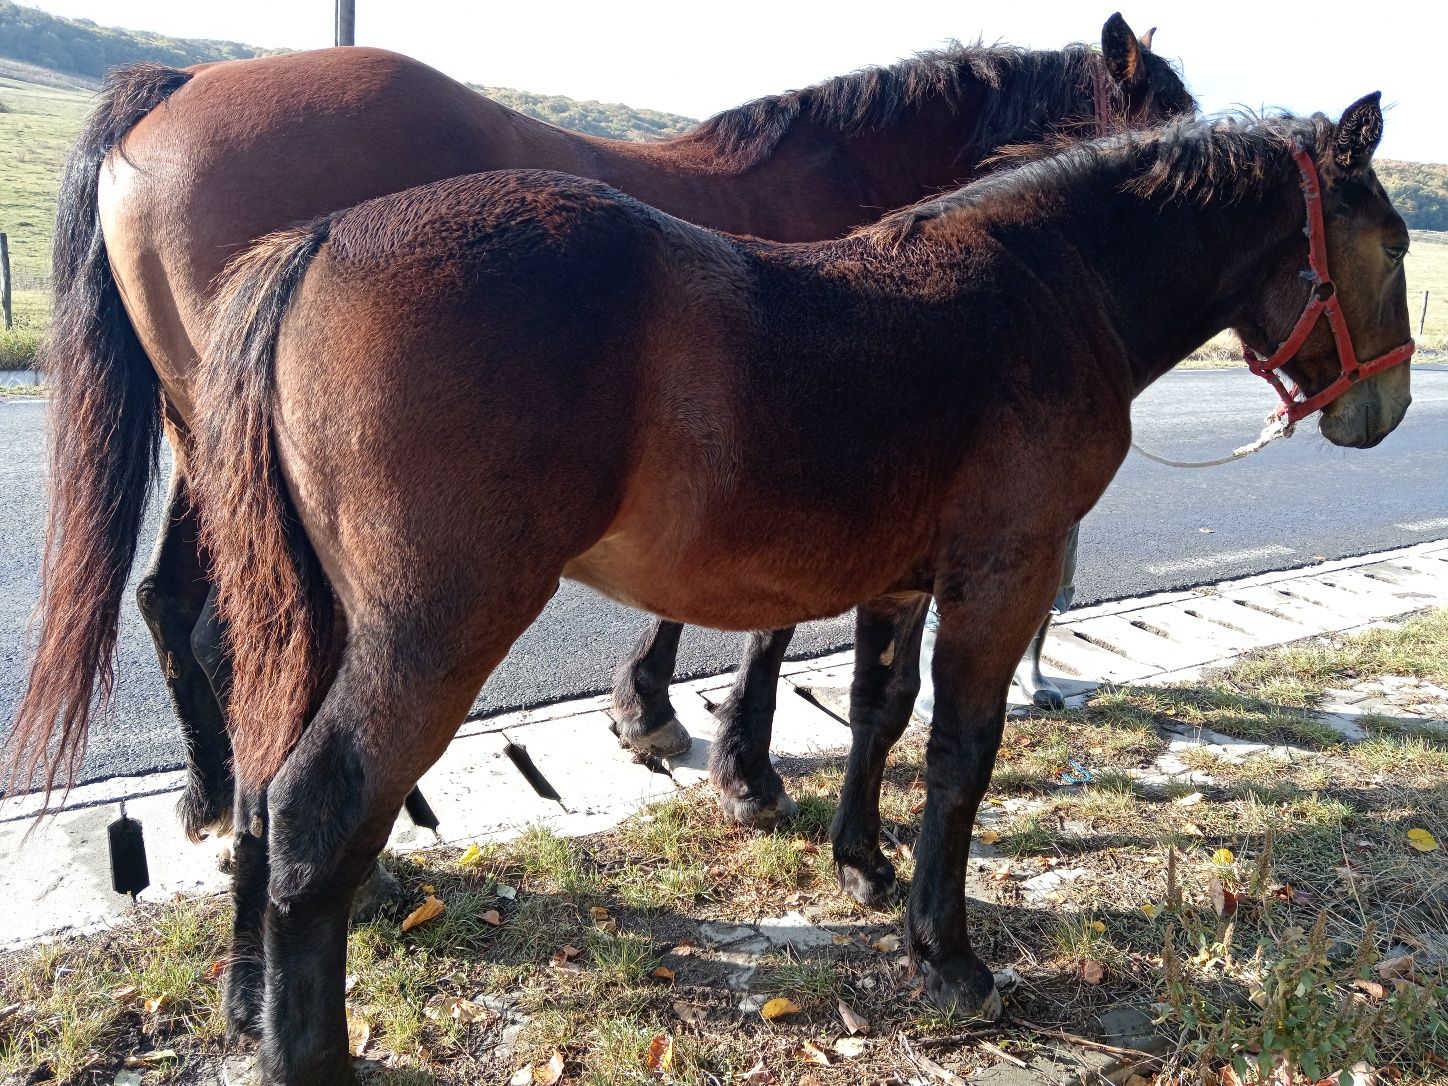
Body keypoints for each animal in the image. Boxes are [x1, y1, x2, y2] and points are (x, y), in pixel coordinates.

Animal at [2, 17, 1187, 839]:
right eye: (1169, 138)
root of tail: (178, 86)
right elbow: (763, 630)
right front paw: (744, 773)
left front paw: (646, 711)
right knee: (229, 627)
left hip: (206, 437)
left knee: (172, 604)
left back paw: (210, 795)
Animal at [169, 93, 1413, 1083]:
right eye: (1395, 246)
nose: (1384, 411)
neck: (1047, 288)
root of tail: (321, 240)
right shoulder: (998, 579)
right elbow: (959, 758)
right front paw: (945, 955)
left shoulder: (902, 584)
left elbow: (877, 716)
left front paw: (862, 865)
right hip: (434, 629)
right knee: (317, 802)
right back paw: (310, 1052)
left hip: (319, 623)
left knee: (263, 780)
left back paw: (248, 1000)